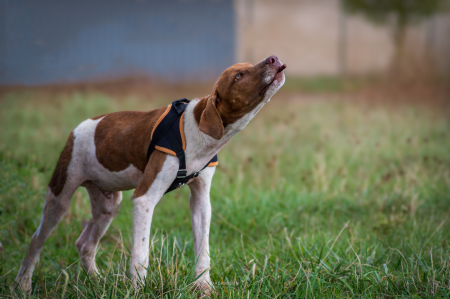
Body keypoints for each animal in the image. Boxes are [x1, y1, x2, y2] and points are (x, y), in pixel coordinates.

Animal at [16, 55, 284, 292]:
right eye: (239, 76)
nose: (274, 58)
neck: (197, 131)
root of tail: (77, 129)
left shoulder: (200, 201)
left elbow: (203, 251)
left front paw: (204, 287)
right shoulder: (144, 198)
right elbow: (141, 254)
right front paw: (137, 289)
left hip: (107, 205)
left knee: (85, 244)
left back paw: (97, 282)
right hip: (60, 197)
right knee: (36, 240)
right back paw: (23, 285)